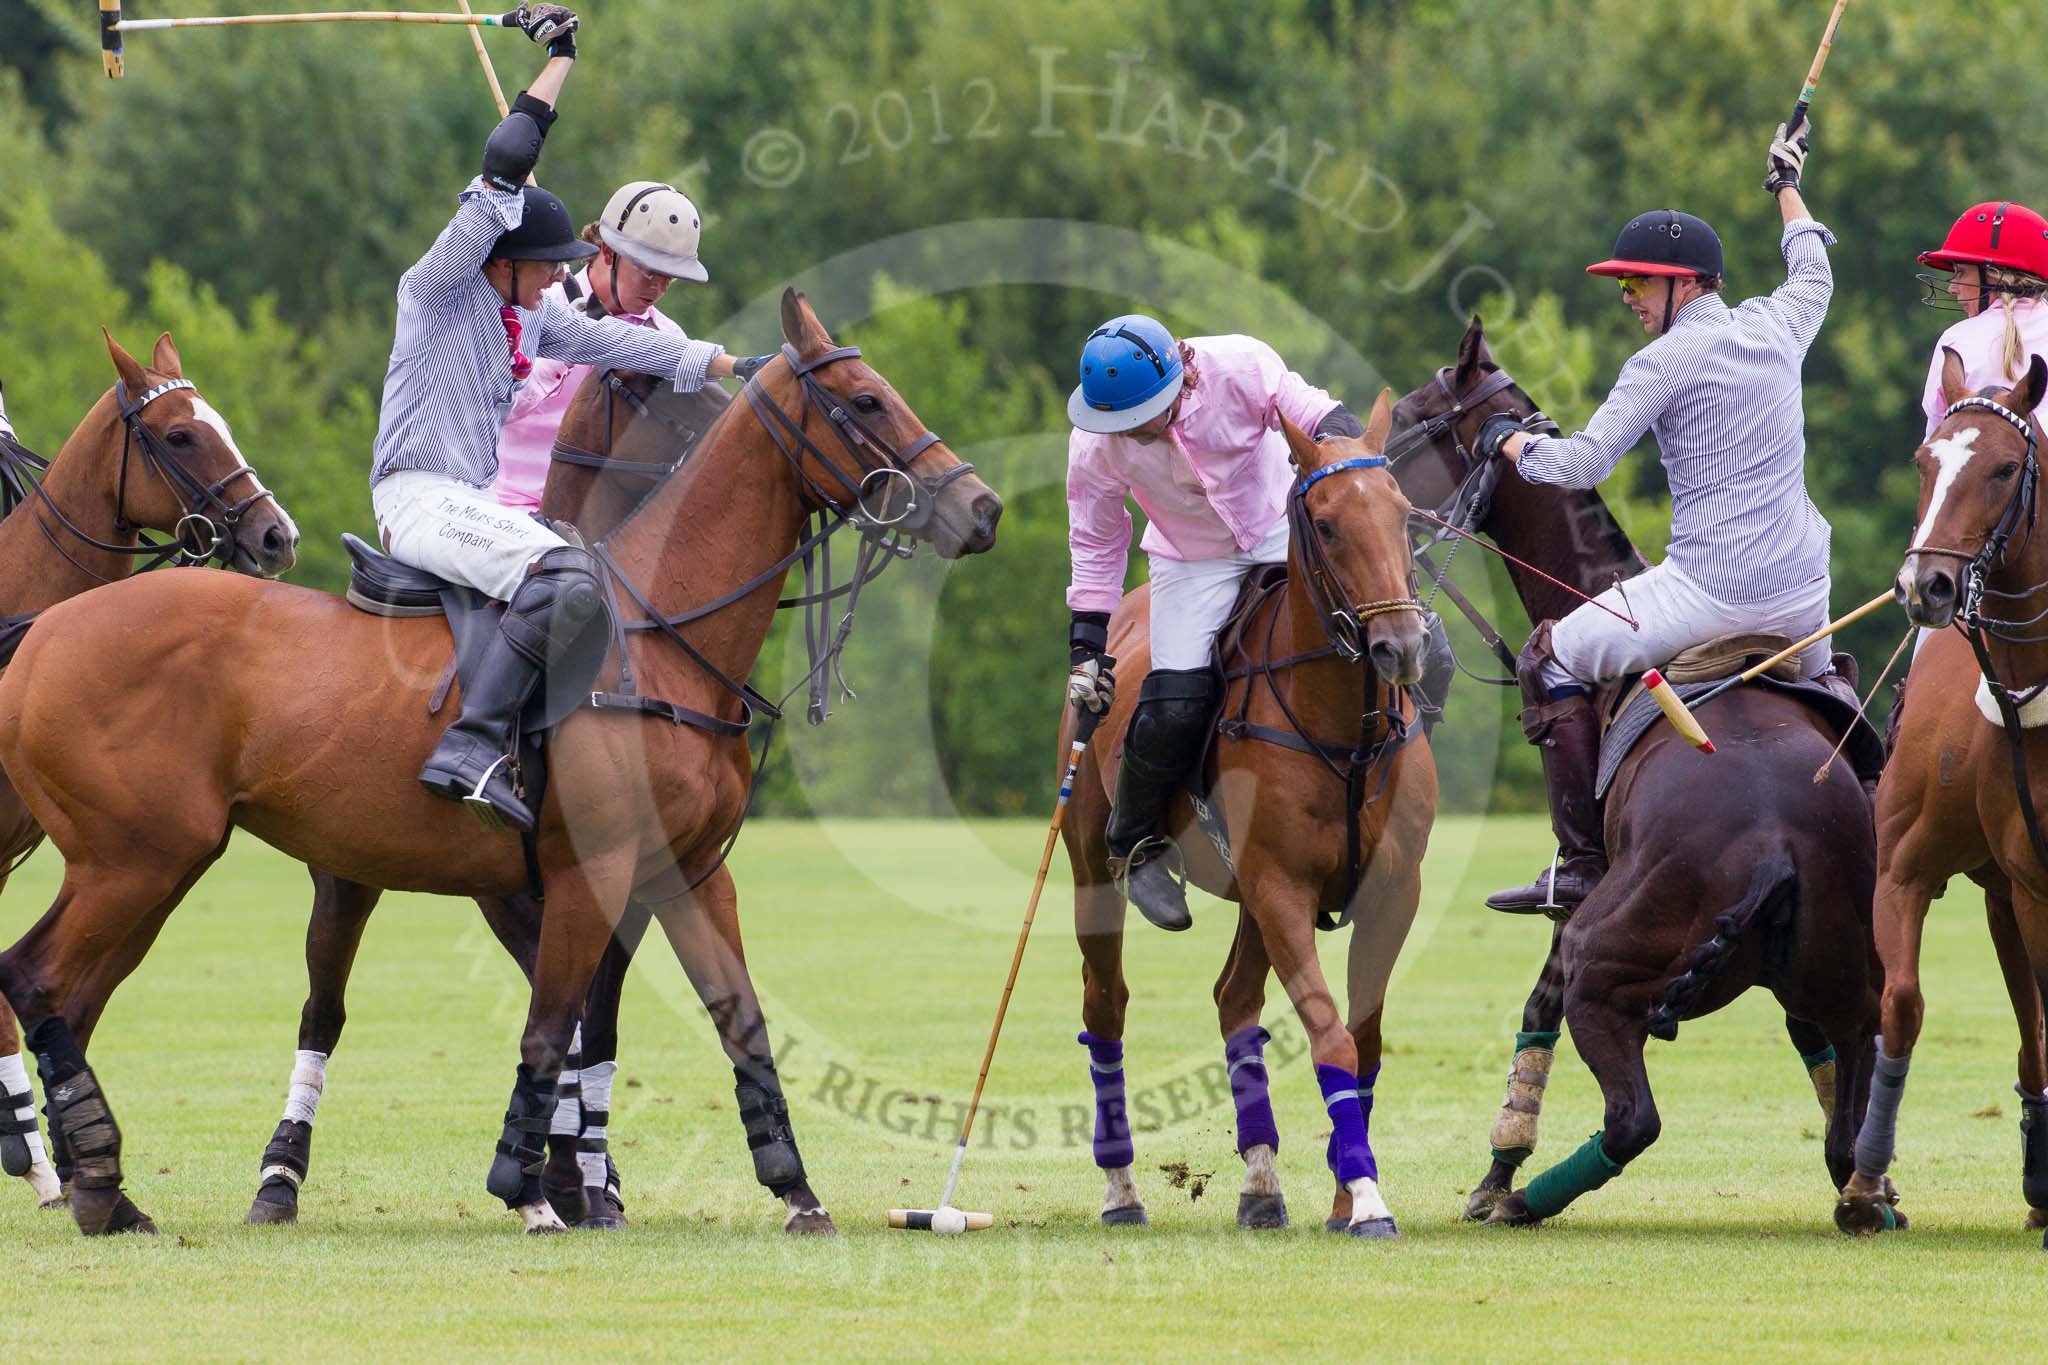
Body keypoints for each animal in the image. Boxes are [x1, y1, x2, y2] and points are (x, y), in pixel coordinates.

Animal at [1064, 392, 1433, 1236]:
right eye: (1325, 522)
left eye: (1403, 512)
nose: (1399, 646)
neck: (1347, 732)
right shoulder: (1281, 886)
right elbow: (1330, 1033)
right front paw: (1366, 1198)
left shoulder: (1391, 893)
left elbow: (1363, 1039)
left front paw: (1343, 1194)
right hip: (1094, 870)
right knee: (1106, 1006)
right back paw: (1121, 1190)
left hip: (1249, 897)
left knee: (1234, 997)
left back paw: (1262, 1184)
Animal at [1392, 323, 1884, 1236]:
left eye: (1408, 414)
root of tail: (1772, 842)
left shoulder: (1572, 913)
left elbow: (1536, 1009)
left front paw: (1494, 1172)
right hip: (1847, 970)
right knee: (1847, 1111)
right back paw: (1872, 1195)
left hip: (1608, 952)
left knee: (1634, 1118)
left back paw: (1525, 1200)